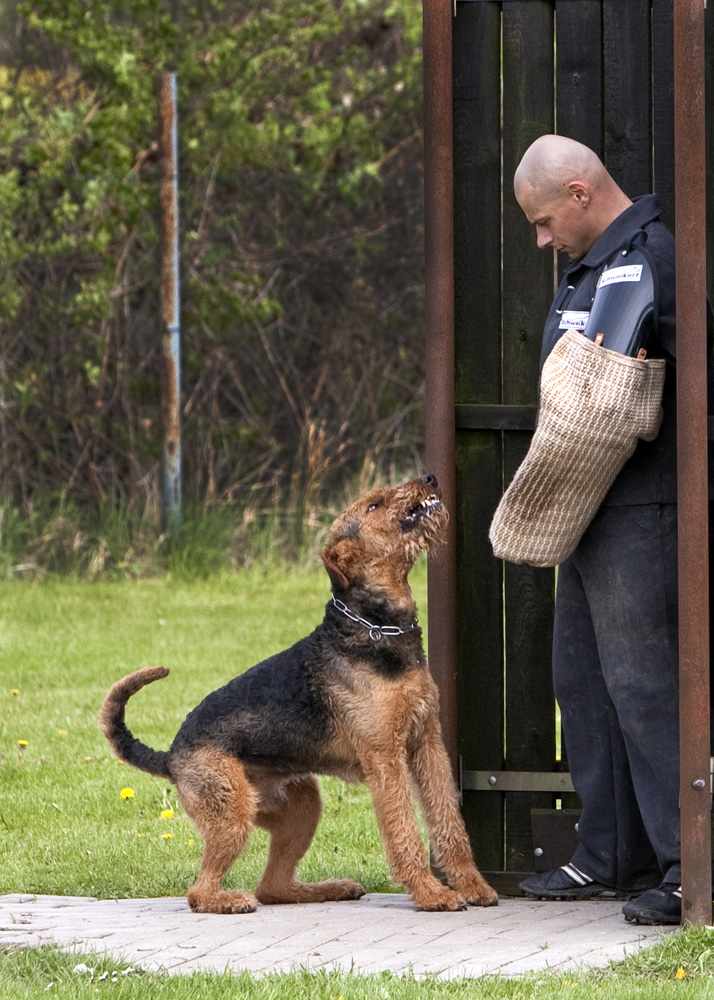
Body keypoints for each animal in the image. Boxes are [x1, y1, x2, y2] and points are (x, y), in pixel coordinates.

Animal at [100, 476, 496, 916]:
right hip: (232, 813)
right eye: (374, 505)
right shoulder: (385, 757)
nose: (428, 479)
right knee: (200, 891)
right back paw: (232, 900)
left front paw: (473, 886)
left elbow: (449, 823)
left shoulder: (427, 743)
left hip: (301, 805)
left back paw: (334, 888)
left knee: (273, 885)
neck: (374, 627)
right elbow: (405, 832)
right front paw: (432, 894)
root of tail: (170, 756)